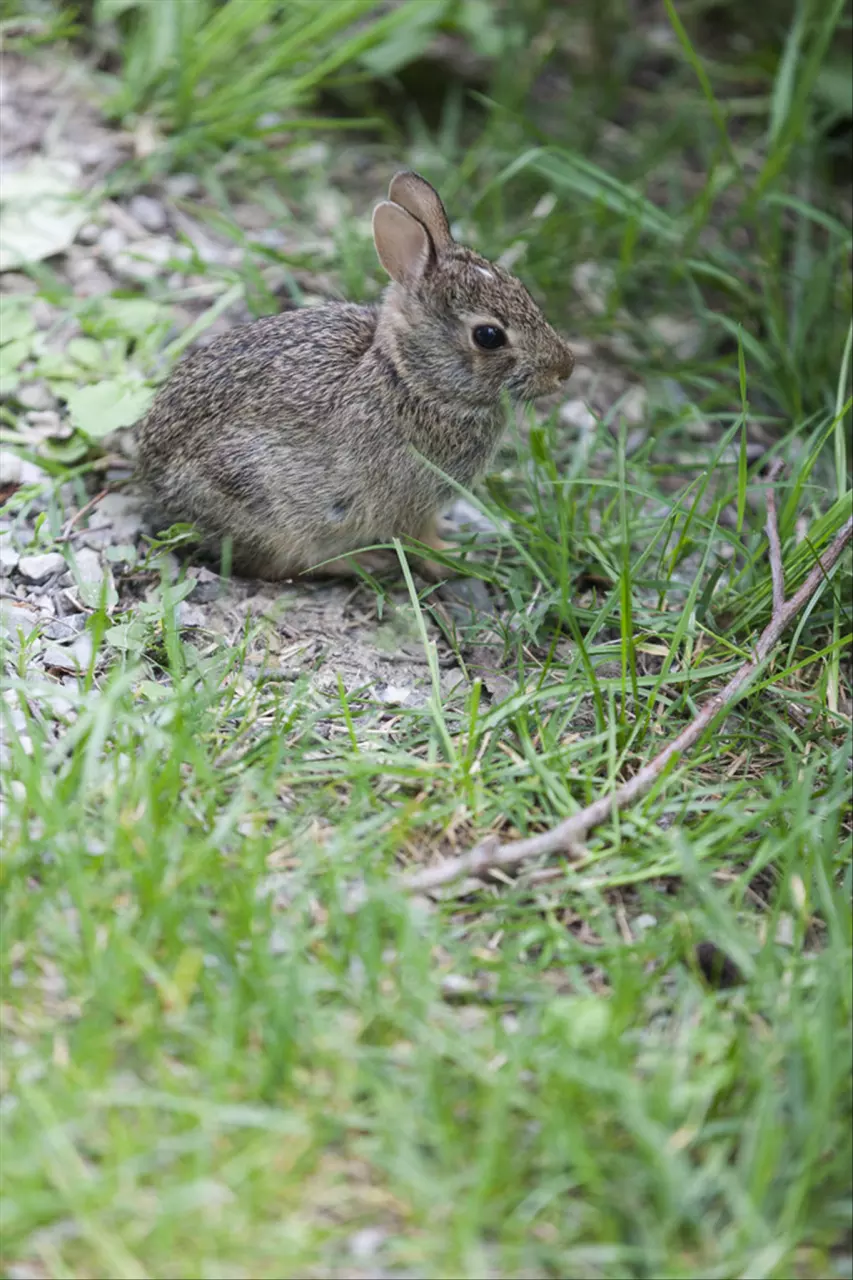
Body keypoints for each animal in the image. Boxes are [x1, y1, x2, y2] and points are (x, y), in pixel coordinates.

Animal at [136, 170, 573, 581]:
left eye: (523, 291)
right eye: (489, 336)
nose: (564, 369)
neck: (412, 381)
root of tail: (156, 488)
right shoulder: (410, 501)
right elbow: (420, 540)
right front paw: (456, 560)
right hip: (262, 504)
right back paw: (364, 562)